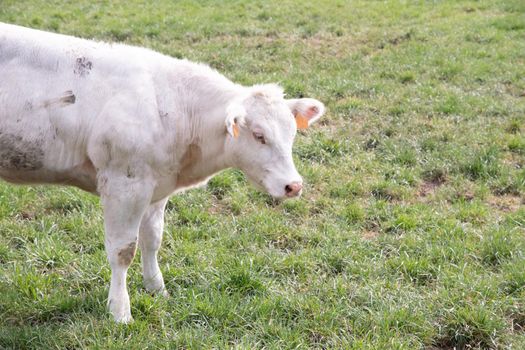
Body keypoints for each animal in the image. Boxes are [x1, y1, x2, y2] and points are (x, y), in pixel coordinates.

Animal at [0, 22, 326, 322]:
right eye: (259, 135)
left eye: (292, 133)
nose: (294, 185)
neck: (174, 108)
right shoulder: (124, 185)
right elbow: (122, 250)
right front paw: (120, 311)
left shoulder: (156, 188)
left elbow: (153, 238)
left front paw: (156, 288)